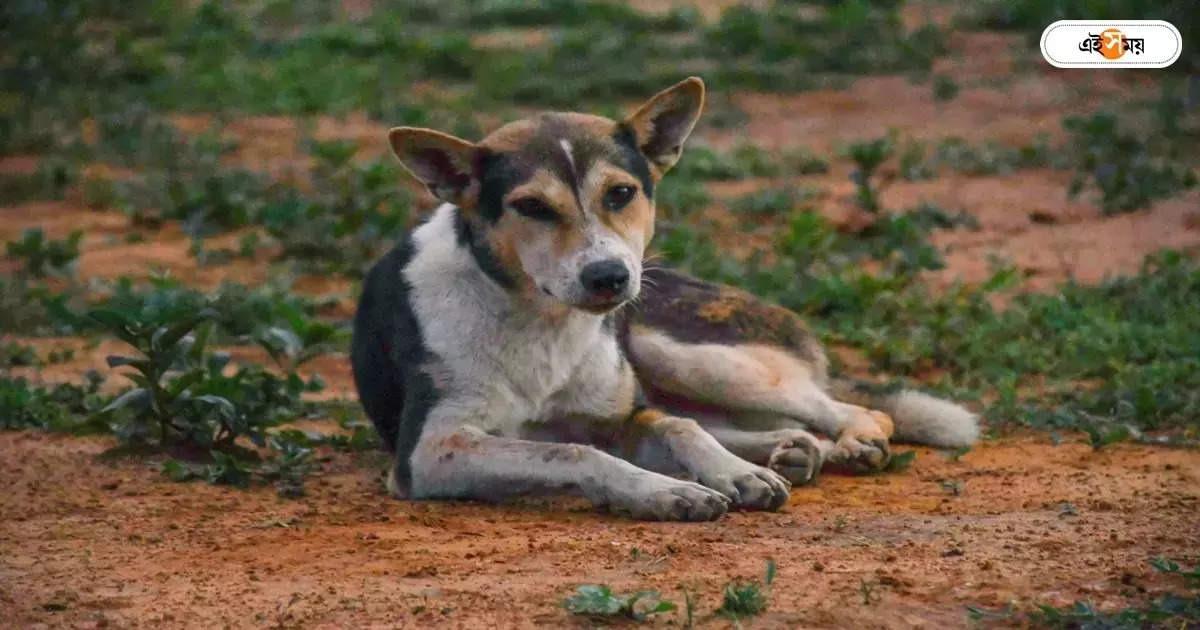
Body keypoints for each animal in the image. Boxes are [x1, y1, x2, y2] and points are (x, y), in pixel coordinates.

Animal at [348, 77, 974, 520]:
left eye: (621, 193)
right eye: (531, 207)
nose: (608, 277)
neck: (542, 324)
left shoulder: (620, 414)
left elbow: (675, 428)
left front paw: (728, 474)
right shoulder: (430, 451)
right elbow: (571, 451)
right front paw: (668, 491)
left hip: (683, 353)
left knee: (843, 409)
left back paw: (843, 442)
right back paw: (796, 450)